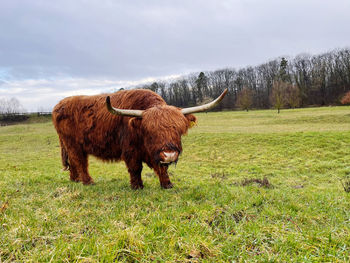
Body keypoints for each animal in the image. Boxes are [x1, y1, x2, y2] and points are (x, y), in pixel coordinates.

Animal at [52, 88, 227, 190]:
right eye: (151, 132)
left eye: (178, 130)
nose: (170, 154)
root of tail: (59, 105)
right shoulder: (131, 150)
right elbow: (136, 168)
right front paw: (137, 187)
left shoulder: (154, 152)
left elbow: (162, 167)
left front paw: (167, 184)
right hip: (73, 144)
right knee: (80, 161)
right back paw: (88, 182)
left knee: (74, 162)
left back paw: (75, 180)